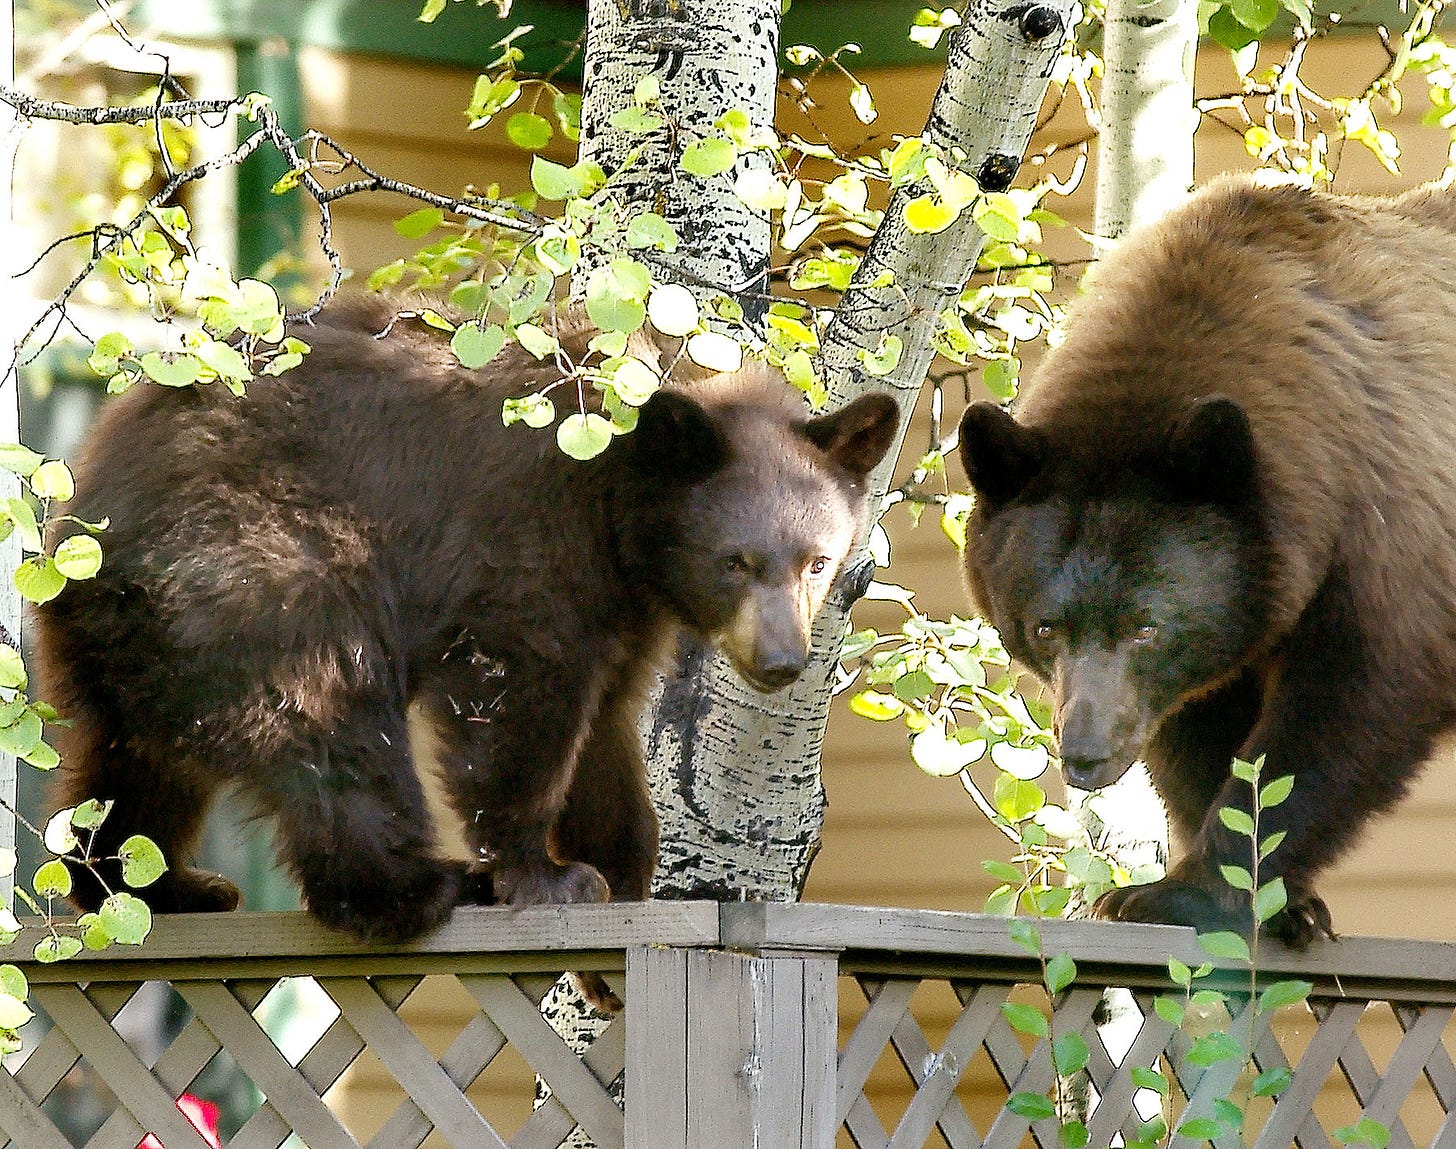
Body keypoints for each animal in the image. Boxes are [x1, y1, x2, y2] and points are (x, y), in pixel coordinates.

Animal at [36, 295, 898, 944]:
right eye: (737, 561)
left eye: (817, 560)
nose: (782, 659)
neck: (618, 496)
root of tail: (83, 520)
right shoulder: (530, 532)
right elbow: (520, 687)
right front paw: (545, 874)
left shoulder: (623, 603)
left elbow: (606, 723)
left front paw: (617, 872)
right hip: (256, 567)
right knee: (329, 714)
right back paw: (417, 885)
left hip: (144, 641)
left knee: (135, 762)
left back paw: (148, 883)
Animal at [957, 173, 1456, 946]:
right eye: (1044, 627)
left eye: (1145, 625)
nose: (1085, 753)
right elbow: (1197, 733)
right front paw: (1284, 904)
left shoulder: (1388, 521)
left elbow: (1346, 707)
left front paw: (1176, 894)